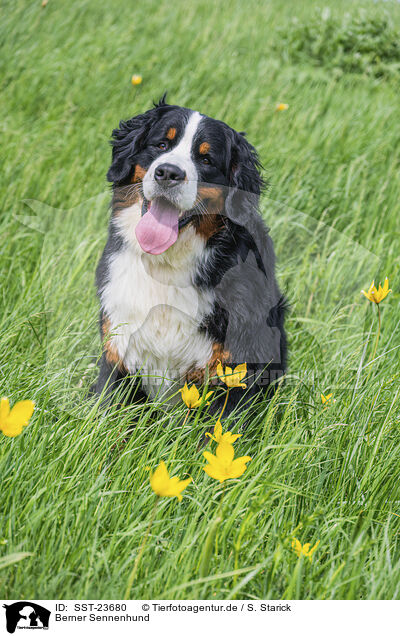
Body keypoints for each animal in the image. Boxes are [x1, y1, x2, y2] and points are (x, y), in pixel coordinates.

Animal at [93, 95, 286, 422]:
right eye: (161, 144)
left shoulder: (233, 373)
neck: (166, 265)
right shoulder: (118, 351)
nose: (169, 172)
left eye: (206, 160)